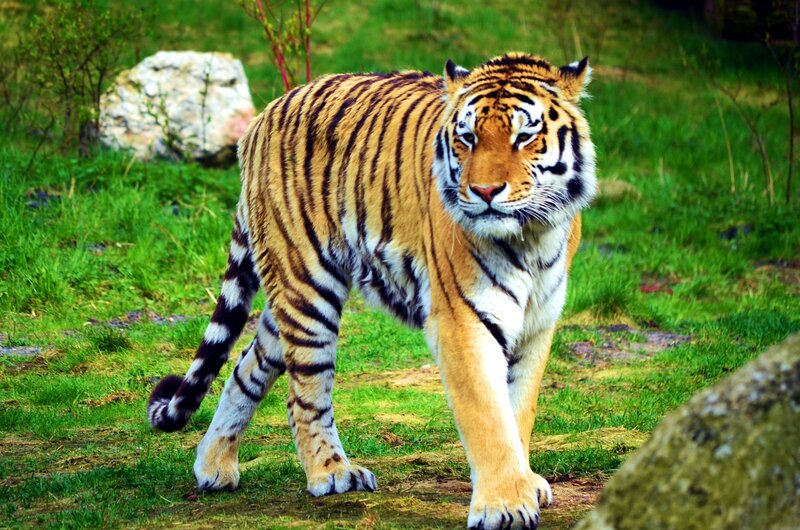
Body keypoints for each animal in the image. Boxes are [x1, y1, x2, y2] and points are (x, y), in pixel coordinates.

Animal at [148, 52, 595, 530]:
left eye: (524, 136)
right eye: (468, 138)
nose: (485, 191)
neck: (532, 235)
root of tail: (265, 114)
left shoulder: (537, 324)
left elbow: (519, 411)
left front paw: (524, 484)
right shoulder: (462, 320)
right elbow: (488, 416)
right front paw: (504, 506)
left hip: (284, 294)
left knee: (245, 369)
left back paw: (214, 466)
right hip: (309, 287)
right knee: (303, 395)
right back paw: (332, 473)